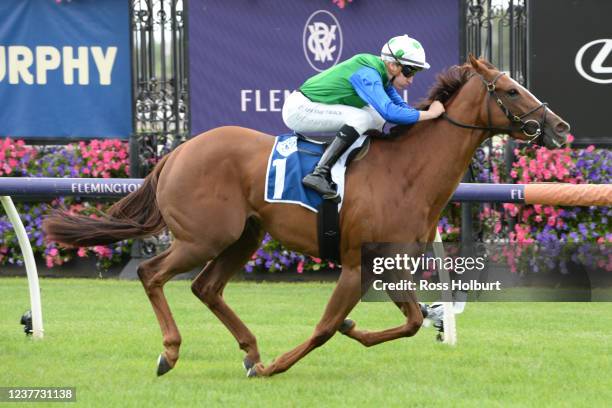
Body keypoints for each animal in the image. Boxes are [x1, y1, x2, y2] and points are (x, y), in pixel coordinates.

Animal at [43, 55, 568, 378]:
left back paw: (250, 351)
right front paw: (277, 366)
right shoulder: (356, 265)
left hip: (244, 236)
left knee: (206, 287)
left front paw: (354, 330)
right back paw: (172, 353)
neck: (406, 173)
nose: (561, 127)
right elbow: (324, 328)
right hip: (202, 238)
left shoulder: (387, 267)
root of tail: (175, 153)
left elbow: (414, 320)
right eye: (510, 90)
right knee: (152, 274)